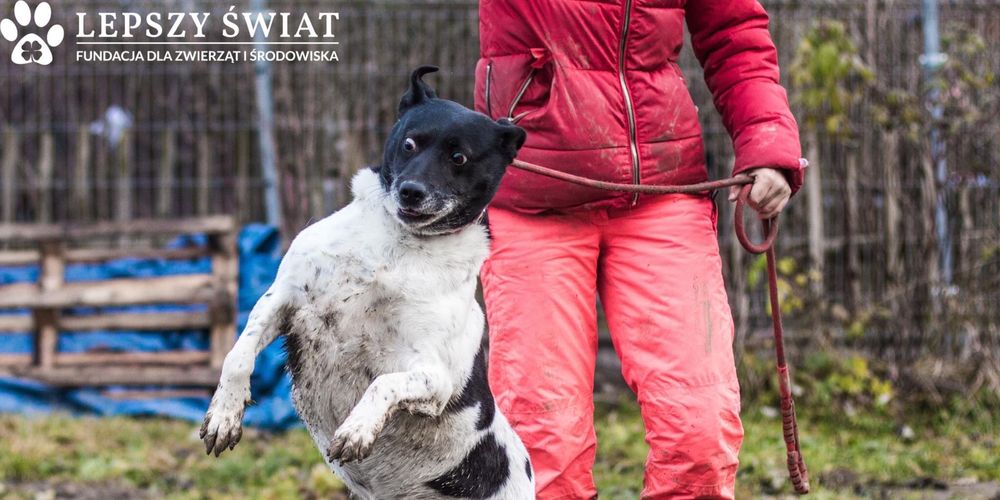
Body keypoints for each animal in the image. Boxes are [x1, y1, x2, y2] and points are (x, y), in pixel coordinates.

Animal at [198, 67, 536, 500]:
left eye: (459, 158)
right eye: (409, 143)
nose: (411, 192)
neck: (395, 245)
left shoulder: (435, 375)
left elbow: (383, 383)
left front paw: (358, 428)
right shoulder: (283, 299)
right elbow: (238, 354)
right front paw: (225, 414)